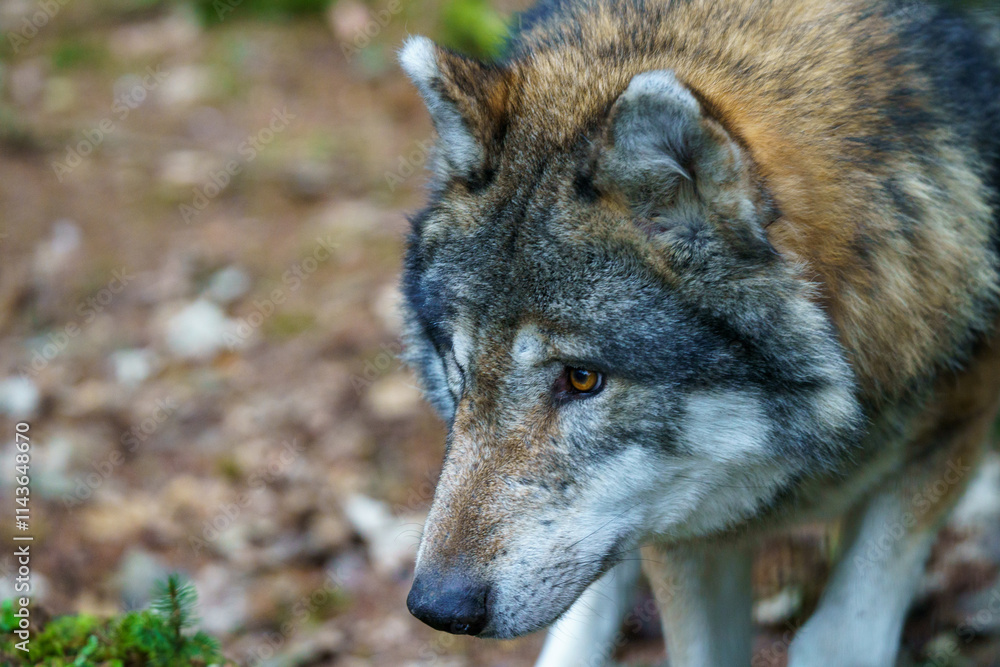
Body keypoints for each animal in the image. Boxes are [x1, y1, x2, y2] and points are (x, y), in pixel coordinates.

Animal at [395, 0, 1000, 664]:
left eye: (582, 378)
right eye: (460, 369)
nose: (437, 607)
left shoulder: (954, 424)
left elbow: (843, 633)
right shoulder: (680, 523)